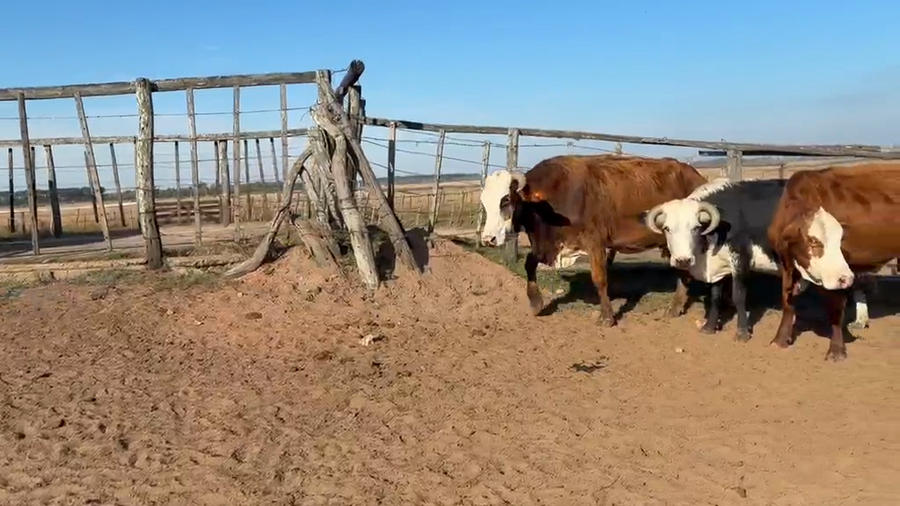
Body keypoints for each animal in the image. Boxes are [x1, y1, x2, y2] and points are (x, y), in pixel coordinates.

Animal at [479, 154, 708, 326]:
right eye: (484, 202)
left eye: (505, 200)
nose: (488, 238)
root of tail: (697, 177)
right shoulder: (549, 244)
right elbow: (529, 263)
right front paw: (536, 303)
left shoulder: (595, 242)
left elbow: (599, 278)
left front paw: (607, 317)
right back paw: (675, 307)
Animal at [639, 177, 873, 343]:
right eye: (667, 228)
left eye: (696, 227)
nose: (682, 260)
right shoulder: (718, 268)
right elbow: (714, 297)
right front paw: (709, 327)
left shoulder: (740, 261)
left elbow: (739, 296)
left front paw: (742, 333)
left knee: (855, 284)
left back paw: (859, 320)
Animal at [767, 163, 900, 361]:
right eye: (813, 241)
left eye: (840, 239)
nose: (846, 278)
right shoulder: (787, 264)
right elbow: (787, 301)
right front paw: (780, 339)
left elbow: (836, 310)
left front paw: (837, 350)